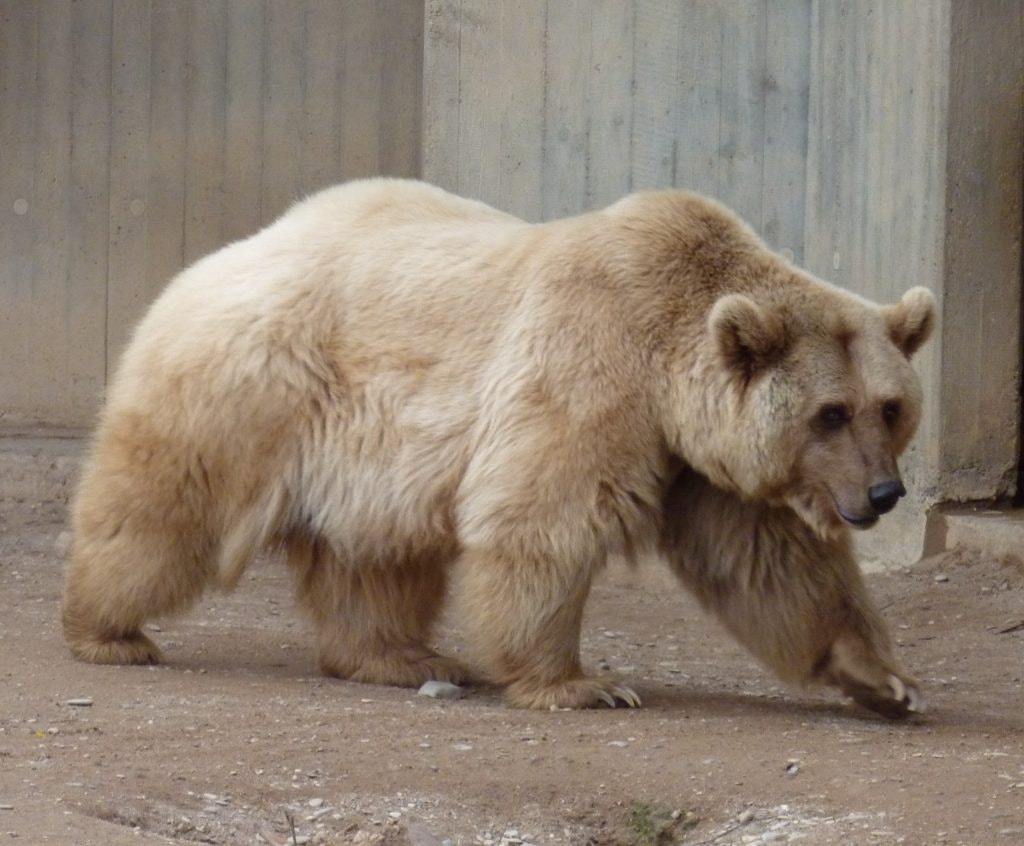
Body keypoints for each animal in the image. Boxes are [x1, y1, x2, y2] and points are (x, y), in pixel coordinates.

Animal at [59, 176, 933, 712]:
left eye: (889, 408)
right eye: (830, 412)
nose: (883, 493)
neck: (669, 363)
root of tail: (216, 257)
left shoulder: (699, 460)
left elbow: (771, 562)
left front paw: (884, 679)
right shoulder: (592, 368)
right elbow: (544, 518)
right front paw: (584, 684)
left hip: (369, 454)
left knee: (375, 558)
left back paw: (402, 656)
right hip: (252, 387)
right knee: (163, 509)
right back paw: (106, 630)